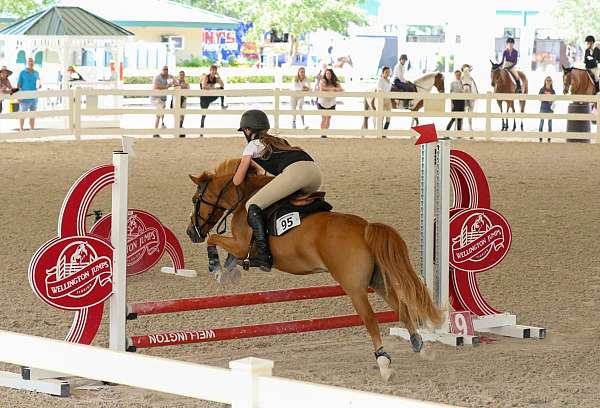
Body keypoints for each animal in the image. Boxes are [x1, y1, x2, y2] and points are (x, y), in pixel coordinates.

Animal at [185, 159, 442, 382]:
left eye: (196, 199)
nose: (190, 232)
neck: (242, 198)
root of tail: (365, 228)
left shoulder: (239, 243)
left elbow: (214, 239)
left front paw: (215, 267)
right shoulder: (240, 248)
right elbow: (232, 257)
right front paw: (227, 271)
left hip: (354, 288)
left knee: (370, 319)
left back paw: (384, 364)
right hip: (377, 280)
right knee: (401, 308)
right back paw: (421, 346)